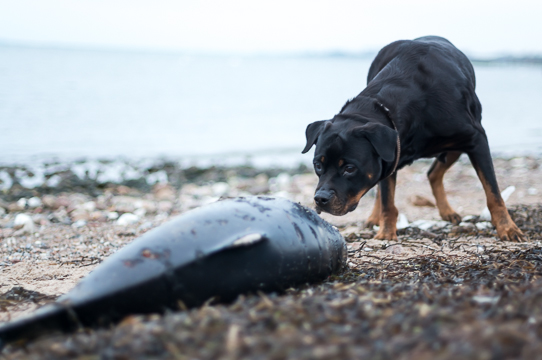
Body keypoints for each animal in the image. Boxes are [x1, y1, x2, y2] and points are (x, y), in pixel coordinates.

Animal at [304, 35, 524, 242]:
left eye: (349, 168)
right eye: (318, 165)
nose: (320, 199)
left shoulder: (477, 140)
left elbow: (494, 193)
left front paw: (507, 228)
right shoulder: (391, 154)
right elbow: (387, 200)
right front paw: (386, 233)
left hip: (457, 145)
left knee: (433, 173)